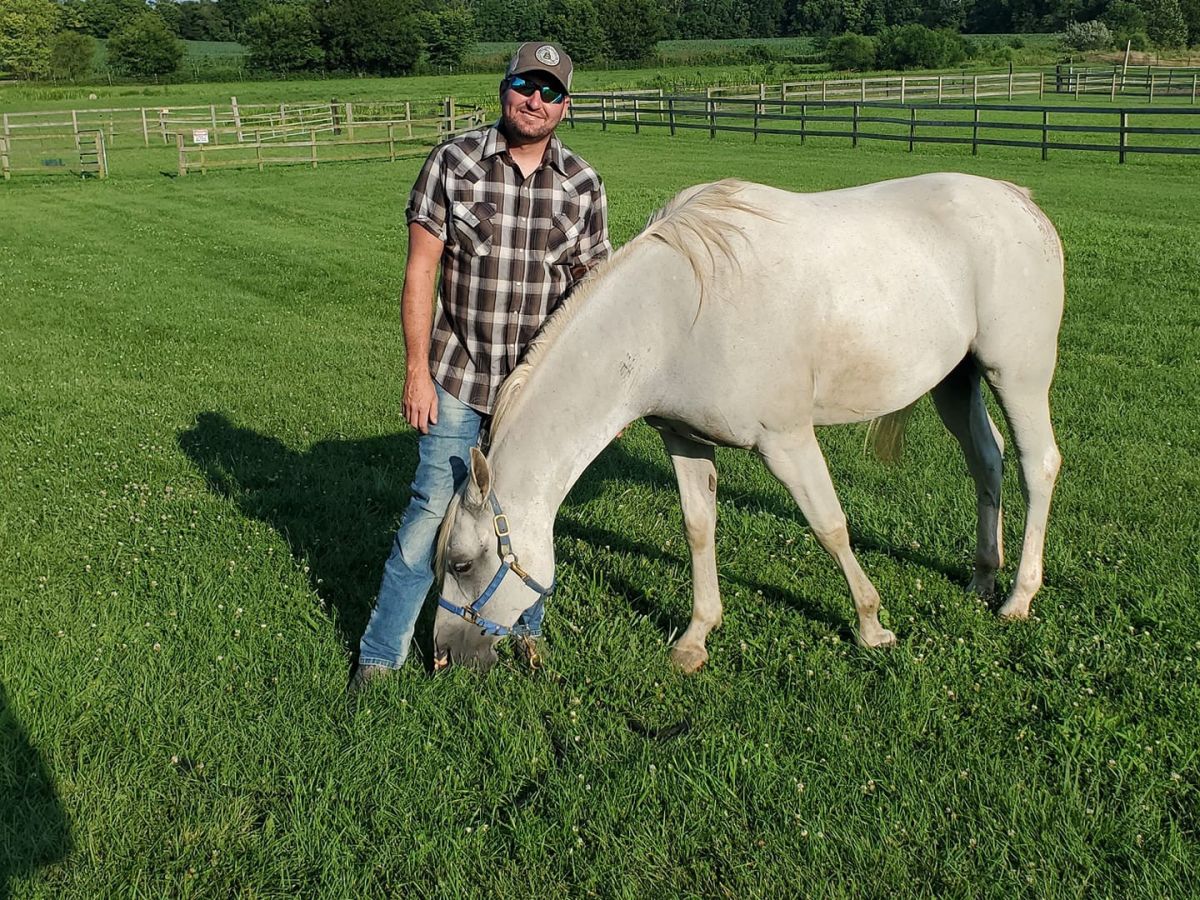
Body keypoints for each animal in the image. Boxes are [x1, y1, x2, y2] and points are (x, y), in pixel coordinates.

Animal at [436, 174, 1065, 672]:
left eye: (462, 562)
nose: (443, 657)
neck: (671, 315)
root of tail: (1017, 198)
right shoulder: (684, 441)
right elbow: (699, 528)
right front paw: (696, 637)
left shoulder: (787, 442)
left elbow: (829, 526)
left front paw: (871, 625)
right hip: (956, 381)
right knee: (987, 460)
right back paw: (983, 577)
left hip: (1017, 375)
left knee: (1037, 465)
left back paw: (1018, 597)